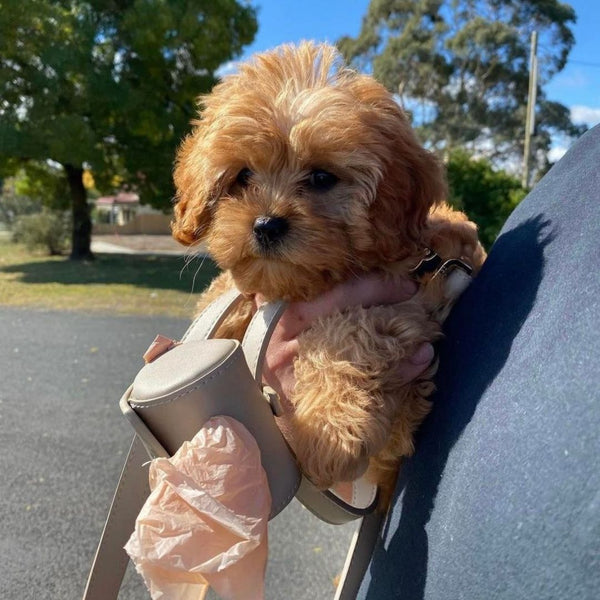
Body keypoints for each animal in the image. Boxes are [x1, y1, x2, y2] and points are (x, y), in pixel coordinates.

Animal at [170, 41, 488, 506]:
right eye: (242, 176)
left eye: (322, 177)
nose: (266, 225)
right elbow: (229, 293)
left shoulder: (403, 308)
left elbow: (347, 336)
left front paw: (329, 429)